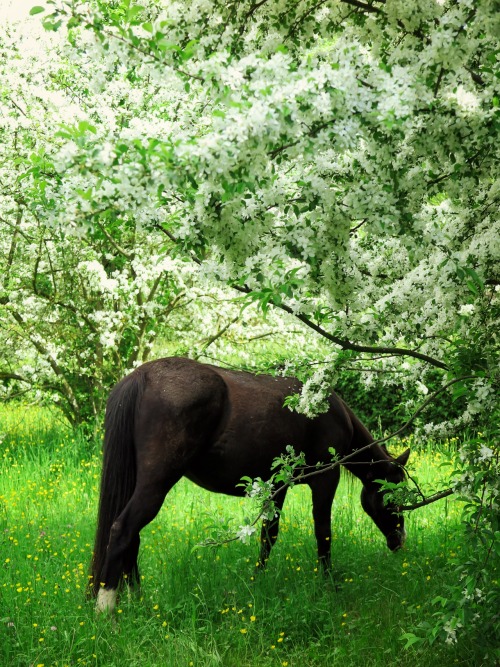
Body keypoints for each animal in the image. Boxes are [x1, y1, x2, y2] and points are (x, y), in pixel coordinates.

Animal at [91, 358, 410, 612]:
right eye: (393, 499)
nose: (399, 542)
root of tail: (142, 375)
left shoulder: (278, 486)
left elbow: (269, 535)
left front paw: (258, 581)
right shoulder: (324, 481)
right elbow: (323, 534)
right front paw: (328, 584)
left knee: (132, 537)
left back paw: (138, 601)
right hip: (156, 484)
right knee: (123, 530)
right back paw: (106, 609)